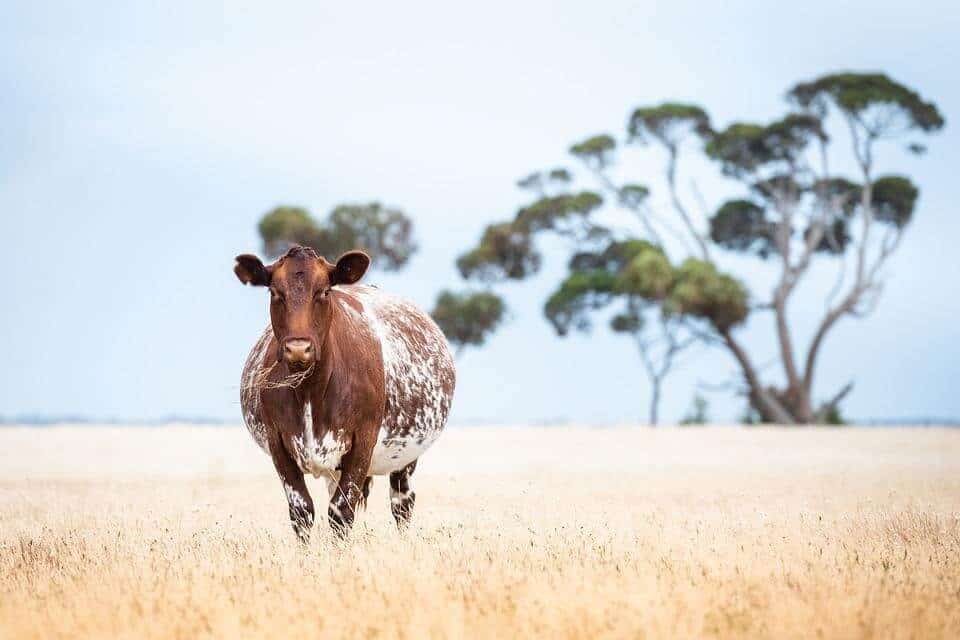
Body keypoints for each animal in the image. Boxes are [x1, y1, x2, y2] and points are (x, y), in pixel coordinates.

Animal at [234, 245, 456, 541]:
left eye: (324, 291)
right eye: (275, 292)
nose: (298, 348)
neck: (311, 390)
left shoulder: (363, 441)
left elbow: (341, 512)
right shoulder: (278, 443)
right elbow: (302, 512)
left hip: (407, 456)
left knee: (402, 503)